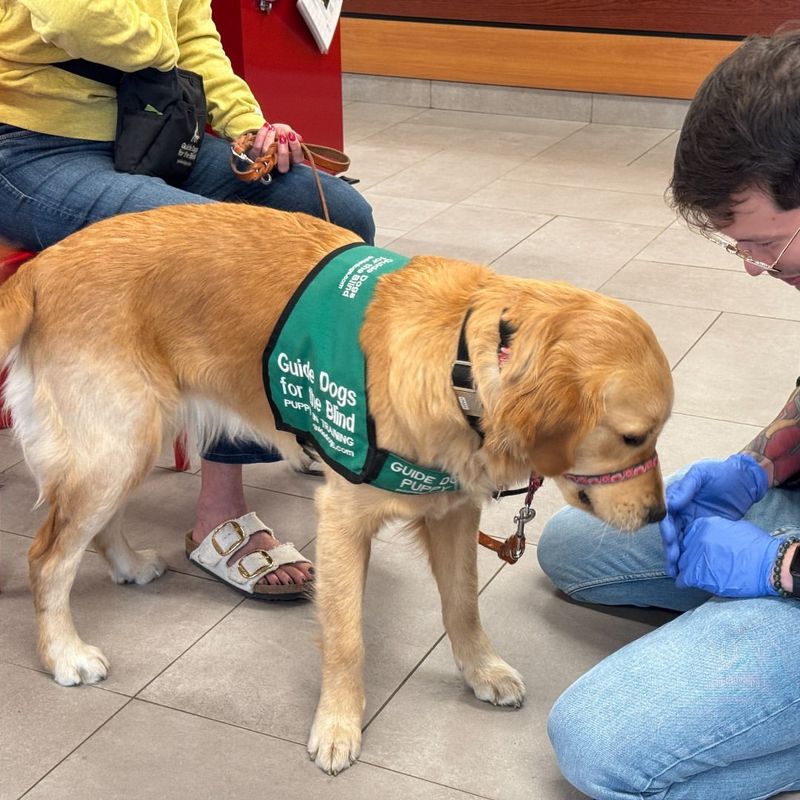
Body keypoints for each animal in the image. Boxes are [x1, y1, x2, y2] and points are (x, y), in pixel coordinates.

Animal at [0, 205, 672, 776]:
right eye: (634, 437)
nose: (660, 515)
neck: (459, 368)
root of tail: (42, 266)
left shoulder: (452, 512)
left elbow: (463, 605)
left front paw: (481, 670)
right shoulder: (343, 517)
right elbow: (347, 636)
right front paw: (338, 727)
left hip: (130, 439)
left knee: (91, 529)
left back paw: (127, 565)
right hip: (119, 439)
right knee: (47, 558)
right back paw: (64, 653)